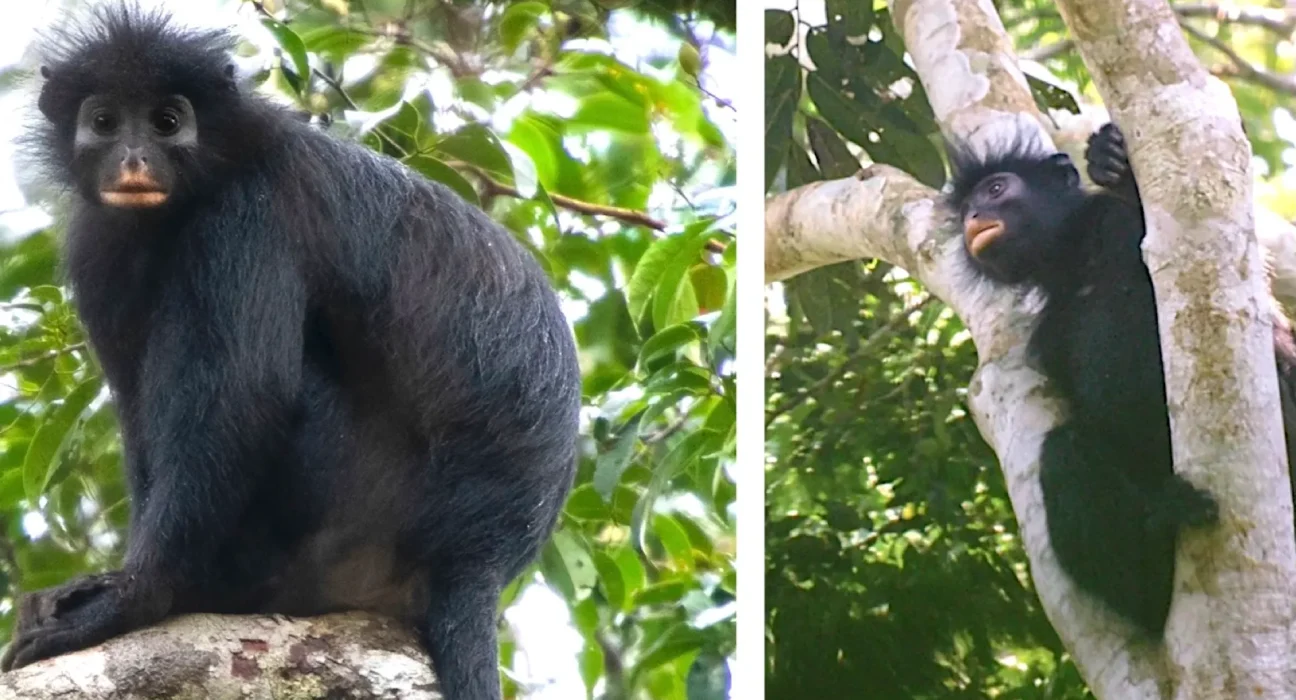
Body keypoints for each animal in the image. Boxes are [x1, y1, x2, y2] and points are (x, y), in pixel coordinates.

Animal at [1, 7, 581, 698]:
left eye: (167, 122)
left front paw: (136, 599)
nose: (134, 157)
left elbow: (242, 397)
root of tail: (481, 559)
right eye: (105, 121)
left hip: (354, 512)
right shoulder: (99, 245)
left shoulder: (248, 214)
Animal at [947, 123, 1296, 636]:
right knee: (1065, 449)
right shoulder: (1049, 332)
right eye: (967, 207)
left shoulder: (1115, 225)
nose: (974, 215)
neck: (1076, 261)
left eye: (995, 190)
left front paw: (1114, 162)